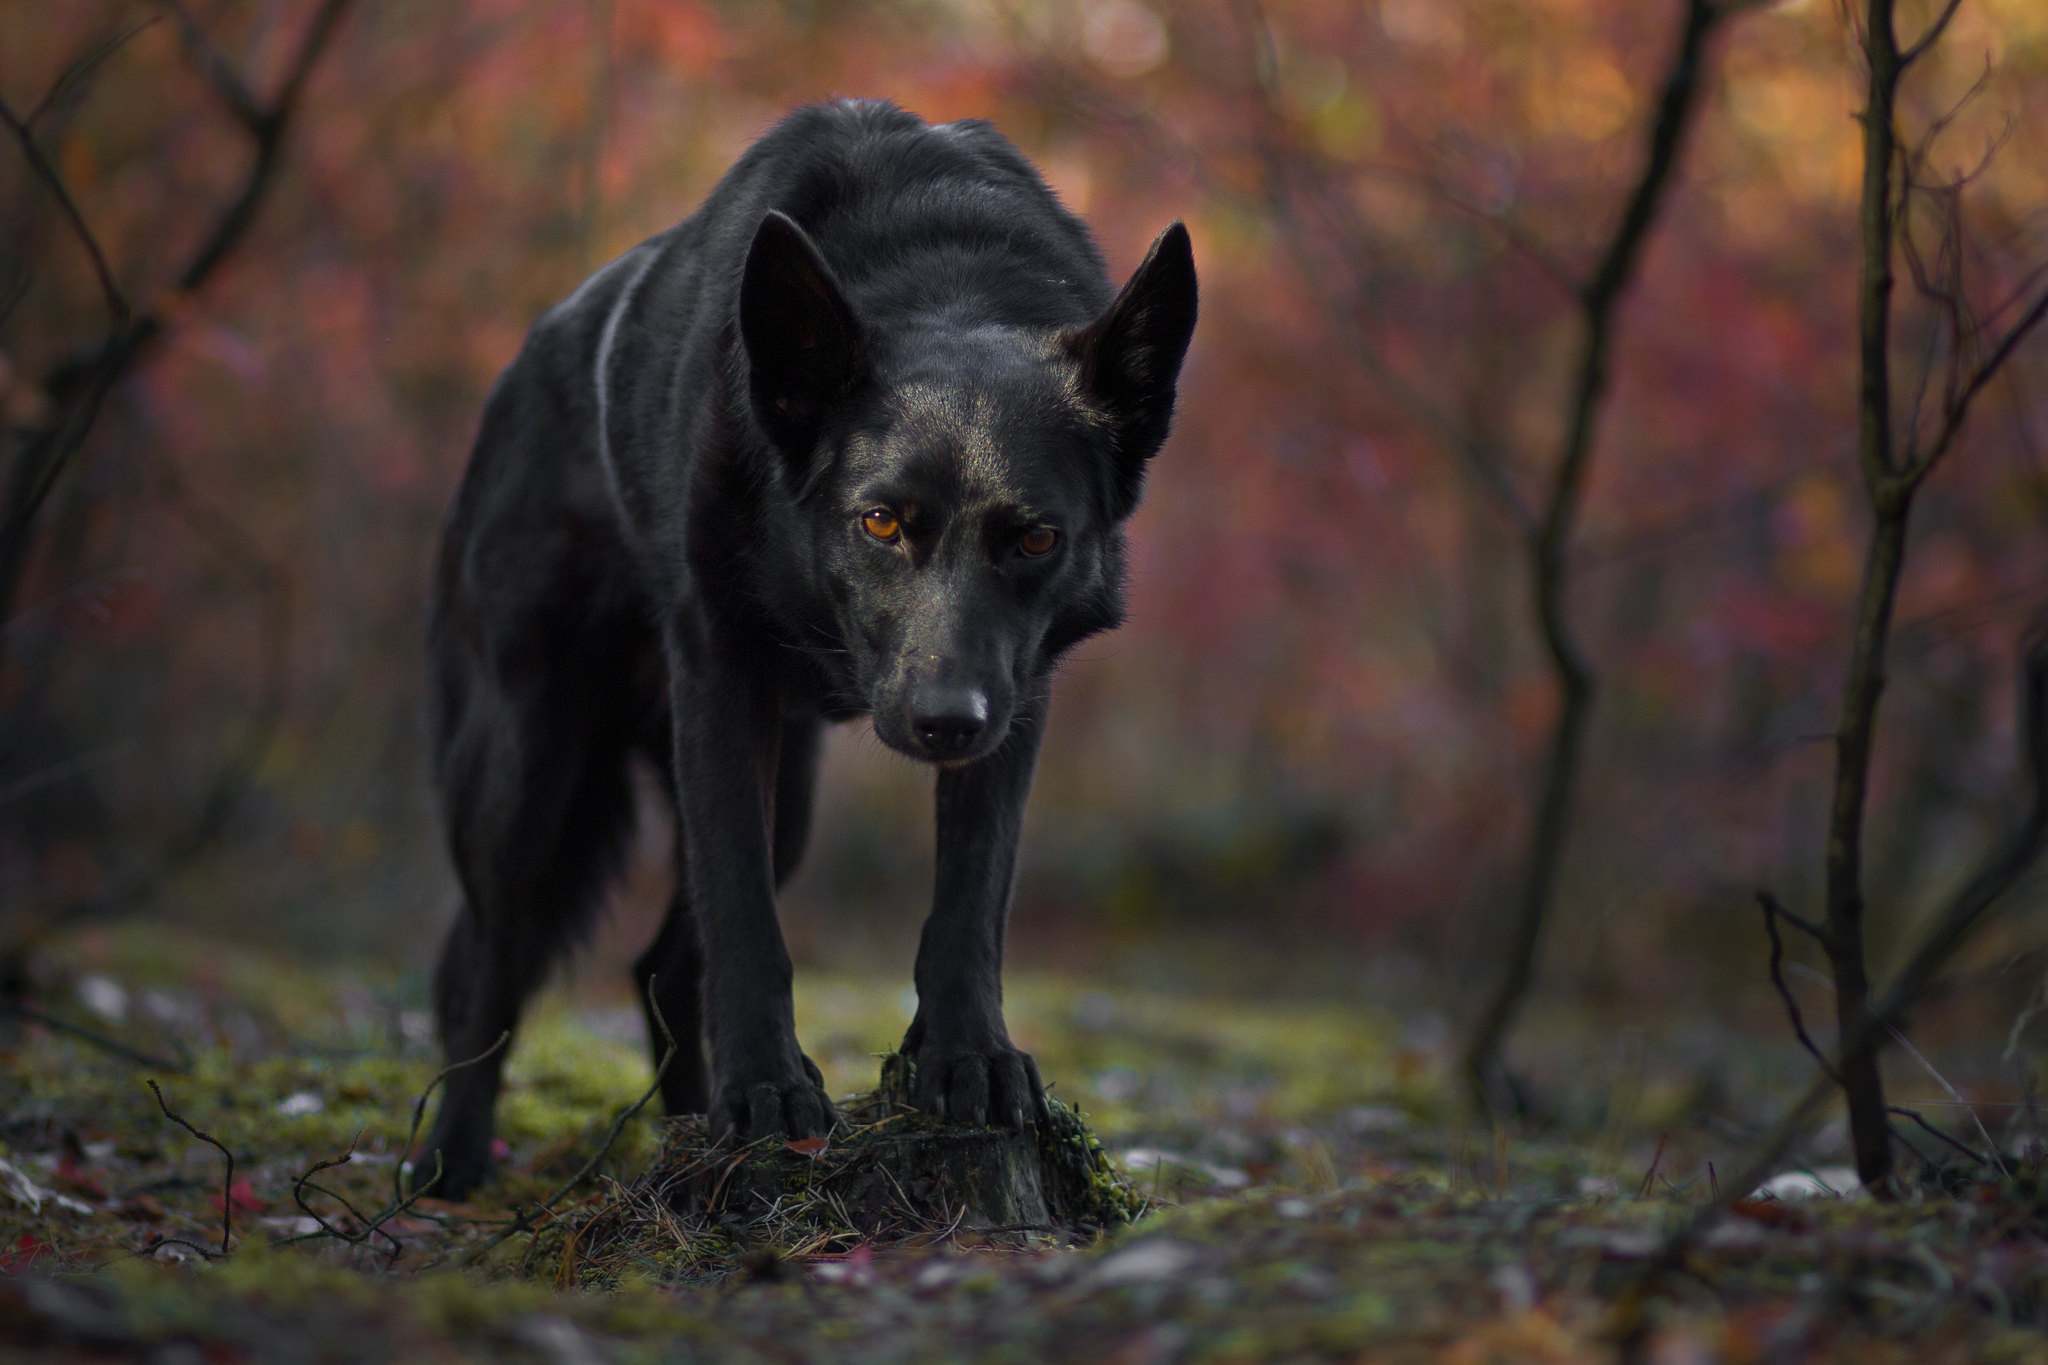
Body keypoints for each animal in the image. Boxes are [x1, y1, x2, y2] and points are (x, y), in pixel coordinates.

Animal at [417, 101, 1196, 1195]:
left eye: (1037, 539)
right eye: (879, 522)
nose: (945, 722)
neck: (944, 273)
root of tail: (517, 372)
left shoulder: (1016, 702)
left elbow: (970, 896)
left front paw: (965, 1056)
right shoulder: (721, 685)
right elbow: (746, 917)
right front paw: (767, 1092)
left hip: (792, 795)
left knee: (661, 968)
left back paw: (684, 1129)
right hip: (531, 769)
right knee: (490, 965)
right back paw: (454, 1158)